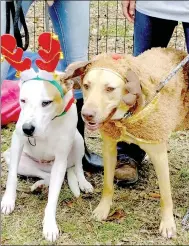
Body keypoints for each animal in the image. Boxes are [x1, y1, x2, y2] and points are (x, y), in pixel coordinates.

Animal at [0, 69, 93, 242]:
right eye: (23, 100)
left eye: (46, 103)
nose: (27, 129)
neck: (50, 121)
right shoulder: (17, 141)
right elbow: (11, 177)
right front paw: (8, 200)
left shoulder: (61, 159)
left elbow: (53, 197)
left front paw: (49, 225)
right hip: (15, 158)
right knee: (45, 175)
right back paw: (40, 185)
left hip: (77, 142)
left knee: (77, 166)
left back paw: (83, 183)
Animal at [63, 47, 189, 238]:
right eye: (86, 85)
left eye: (109, 88)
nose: (86, 115)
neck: (126, 117)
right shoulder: (109, 147)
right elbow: (108, 185)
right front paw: (103, 210)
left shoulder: (159, 153)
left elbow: (166, 195)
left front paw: (168, 224)